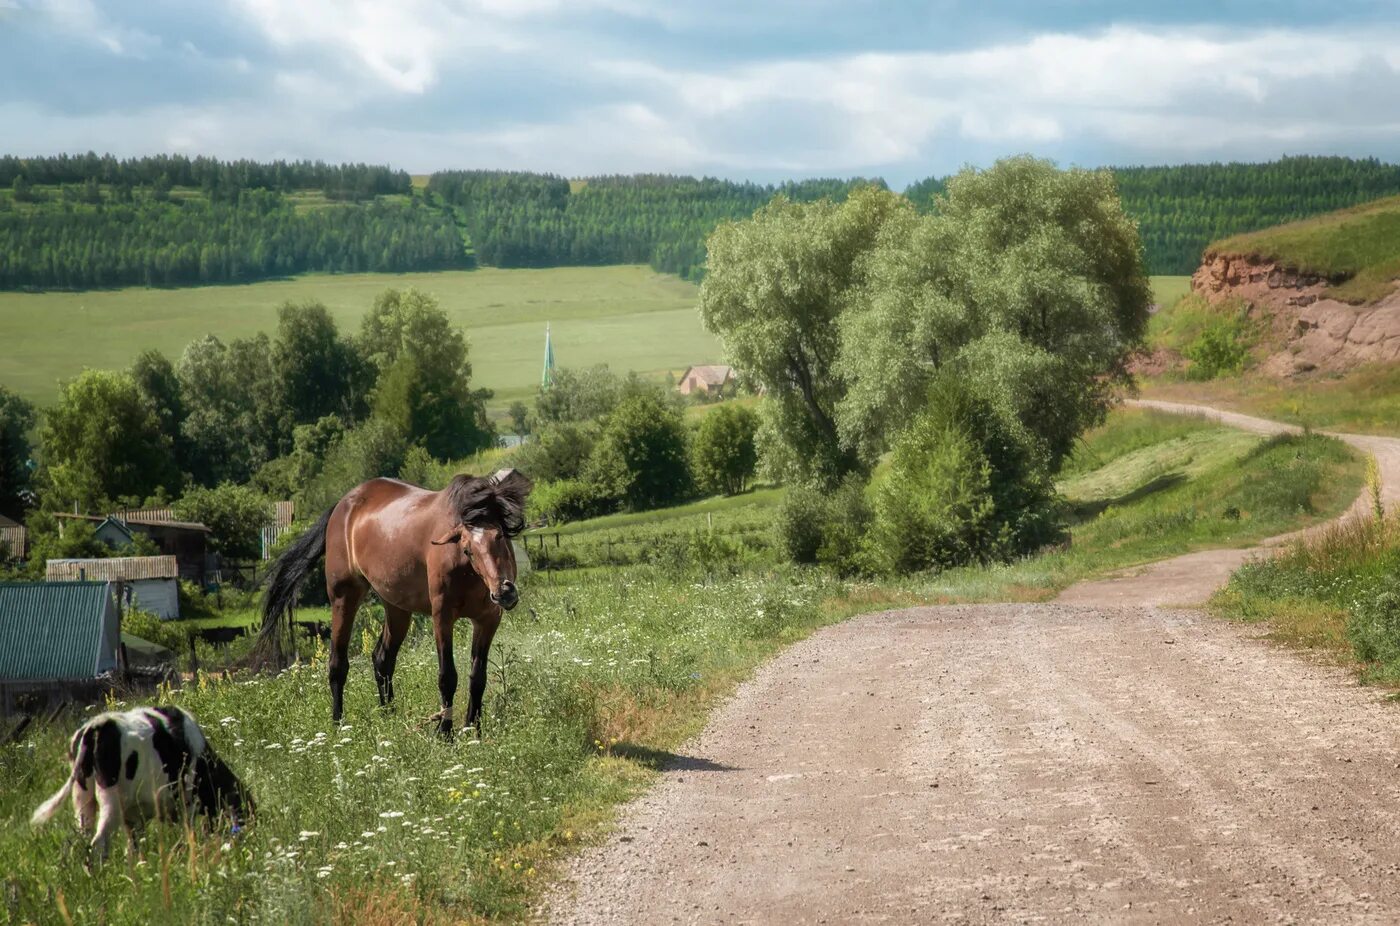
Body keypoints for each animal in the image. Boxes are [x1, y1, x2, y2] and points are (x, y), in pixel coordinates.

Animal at [30, 703, 253, 857]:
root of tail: (96, 726)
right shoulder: (186, 802)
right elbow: (187, 833)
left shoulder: (136, 817)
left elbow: (135, 847)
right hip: (110, 800)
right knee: (98, 843)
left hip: (82, 799)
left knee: (79, 840)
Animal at [259, 470, 529, 734]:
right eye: (467, 549)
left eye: (500, 536)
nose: (504, 592)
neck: (468, 572)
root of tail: (342, 505)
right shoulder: (442, 617)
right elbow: (447, 676)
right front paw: (444, 733)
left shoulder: (487, 620)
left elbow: (478, 677)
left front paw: (473, 730)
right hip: (344, 598)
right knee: (338, 664)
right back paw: (339, 726)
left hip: (396, 608)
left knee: (382, 659)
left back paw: (389, 717)